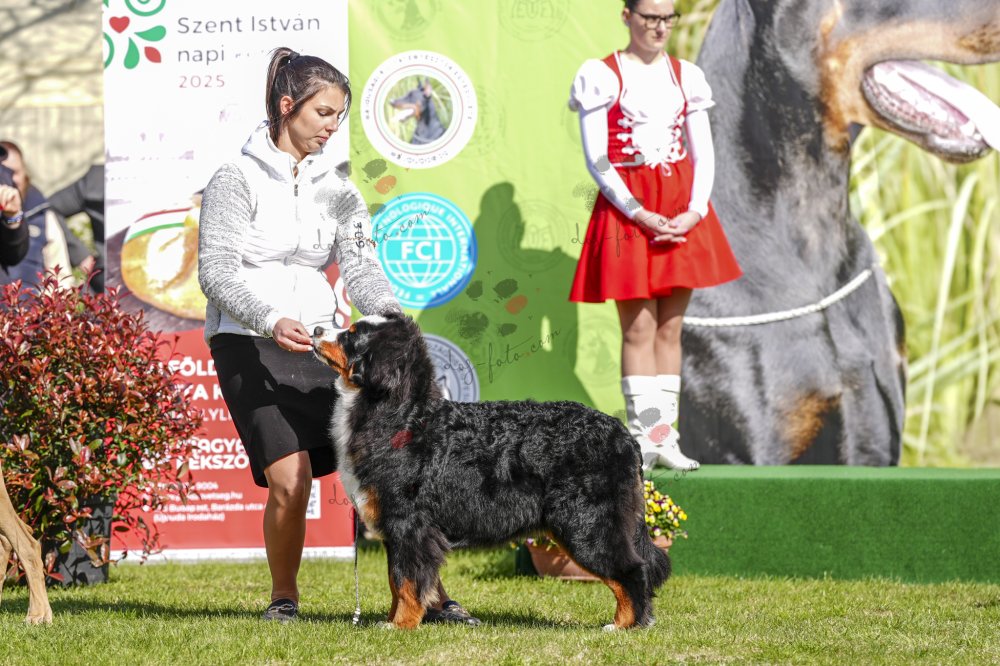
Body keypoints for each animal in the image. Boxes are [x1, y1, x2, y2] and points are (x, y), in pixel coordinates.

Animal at [312, 313, 670, 629]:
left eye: (351, 335)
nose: (314, 329)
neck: (400, 415)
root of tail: (623, 434)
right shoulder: (396, 529)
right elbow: (395, 581)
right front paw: (392, 620)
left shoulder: (409, 524)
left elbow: (407, 582)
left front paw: (400, 625)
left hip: (587, 524)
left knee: (632, 571)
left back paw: (624, 626)